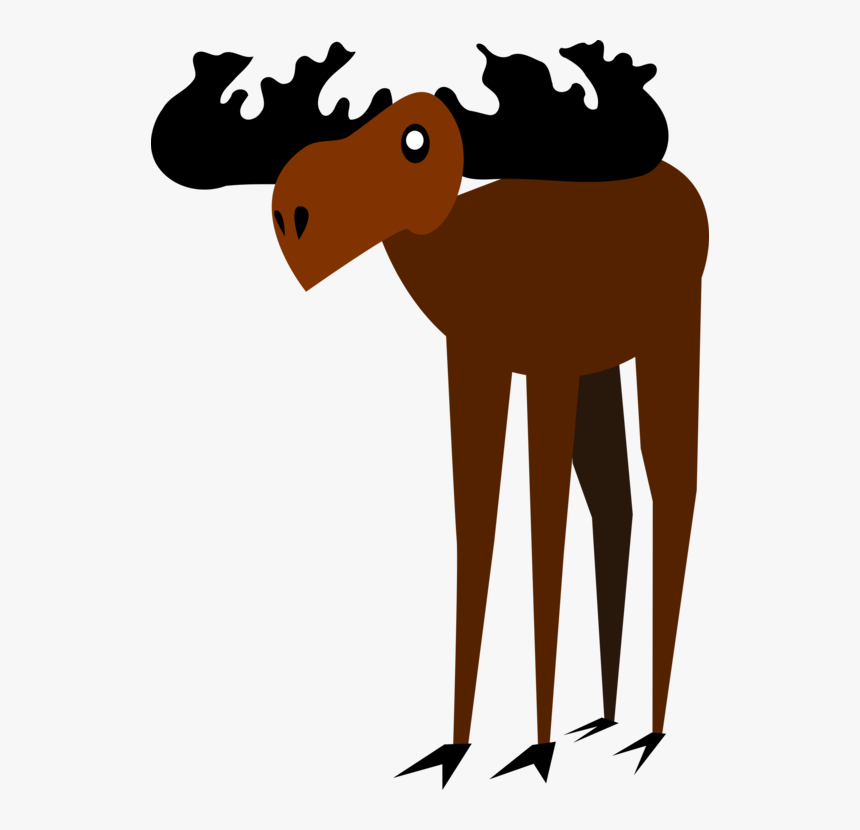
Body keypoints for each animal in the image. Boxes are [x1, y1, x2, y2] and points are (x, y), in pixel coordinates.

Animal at [151, 39, 709, 786]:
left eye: (415, 141)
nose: (292, 215)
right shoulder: (471, 360)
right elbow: (476, 523)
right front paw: (457, 746)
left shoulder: (548, 366)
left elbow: (543, 528)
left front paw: (536, 750)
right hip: (603, 365)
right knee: (613, 501)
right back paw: (606, 719)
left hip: (668, 339)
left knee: (671, 487)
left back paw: (648, 733)